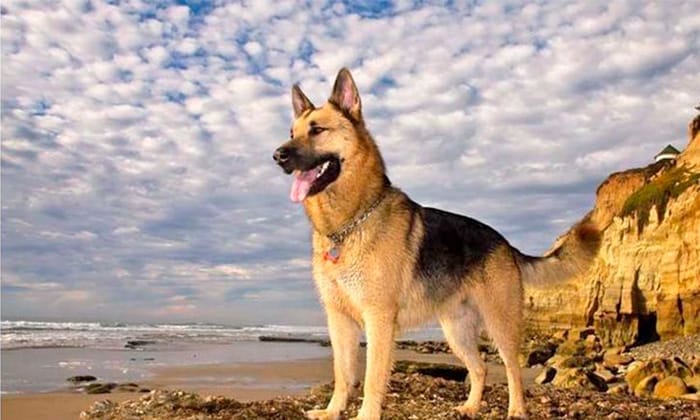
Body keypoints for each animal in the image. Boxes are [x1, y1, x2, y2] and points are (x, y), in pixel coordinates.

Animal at [272, 67, 596, 418]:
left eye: (317, 130)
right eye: (292, 132)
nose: (277, 155)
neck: (349, 222)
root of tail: (506, 243)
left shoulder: (378, 320)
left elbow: (371, 379)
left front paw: (366, 414)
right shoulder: (339, 320)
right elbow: (342, 373)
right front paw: (332, 411)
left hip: (501, 325)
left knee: (512, 370)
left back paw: (516, 410)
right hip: (456, 331)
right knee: (480, 368)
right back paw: (470, 407)